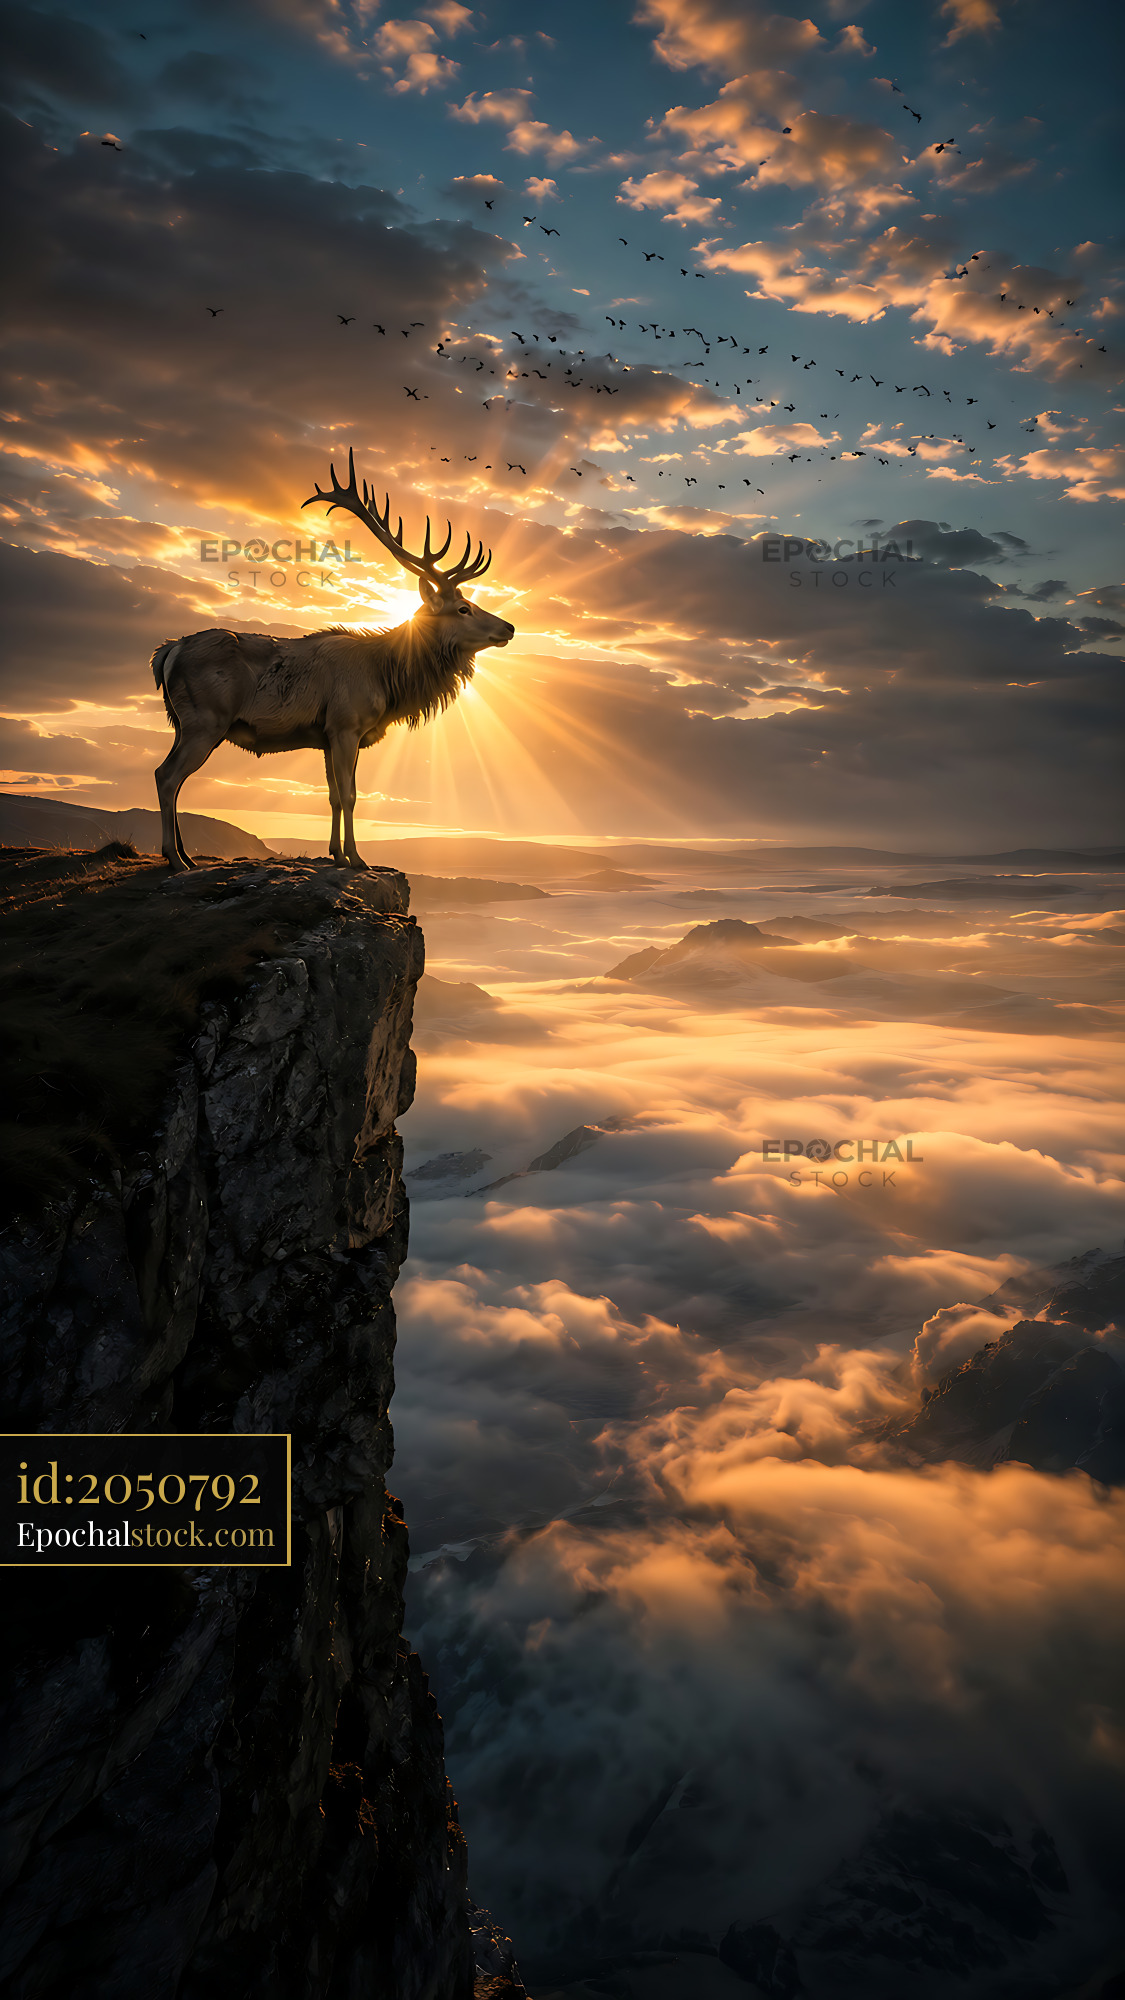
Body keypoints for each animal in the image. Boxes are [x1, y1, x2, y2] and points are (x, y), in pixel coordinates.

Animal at [151, 450, 515, 872]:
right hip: (205, 721)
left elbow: (332, 796)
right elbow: (351, 794)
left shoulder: (326, 735)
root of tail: (167, 652)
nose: (509, 627)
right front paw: (358, 858)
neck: (388, 681)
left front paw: (336, 853)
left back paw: (186, 857)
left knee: (171, 776)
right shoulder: (345, 724)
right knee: (167, 776)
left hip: (181, 723)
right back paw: (175, 859)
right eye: (463, 608)